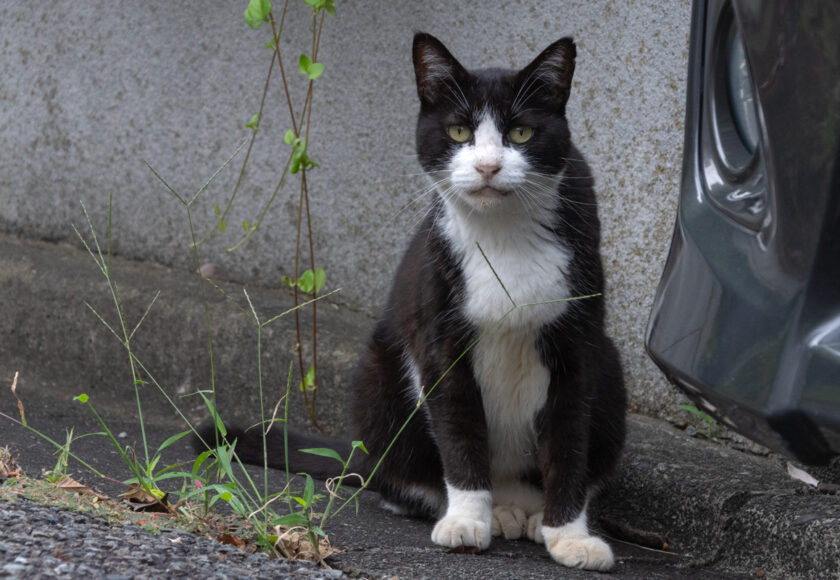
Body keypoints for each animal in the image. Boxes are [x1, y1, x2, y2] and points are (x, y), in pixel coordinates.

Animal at [213, 34, 628, 572]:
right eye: (458, 131)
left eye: (521, 132)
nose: (488, 166)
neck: (504, 235)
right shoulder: (439, 335)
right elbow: (459, 430)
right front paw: (467, 520)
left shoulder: (577, 343)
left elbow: (568, 439)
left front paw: (571, 537)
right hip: (379, 376)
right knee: (403, 473)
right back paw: (493, 511)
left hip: (610, 368)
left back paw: (530, 513)